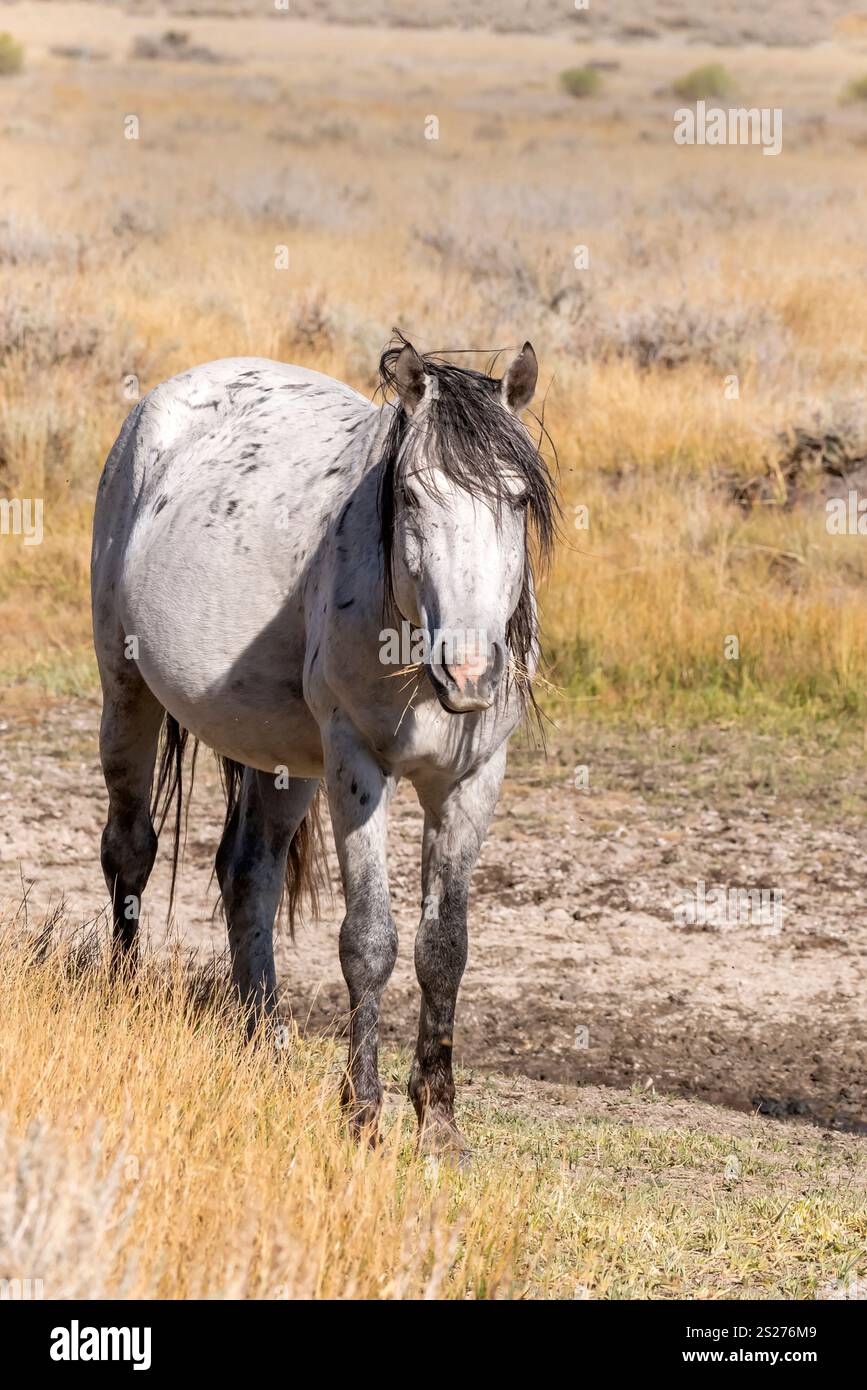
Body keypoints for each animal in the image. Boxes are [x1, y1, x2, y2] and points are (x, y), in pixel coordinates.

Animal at [90, 335, 557, 1152]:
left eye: (518, 499)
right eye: (411, 498)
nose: (468, 671)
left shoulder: (471, 780)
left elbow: (444, 948)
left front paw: (439, 1123)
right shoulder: (355, 765)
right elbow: (368, 940)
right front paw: (363, 1114)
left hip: (284, 759)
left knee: (248, 875)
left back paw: (261, 1042)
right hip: (127, 690)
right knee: (131, 848)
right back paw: (124, 999)